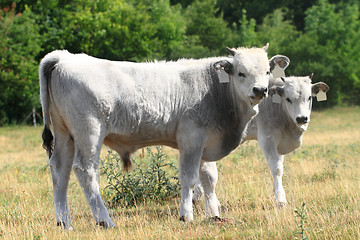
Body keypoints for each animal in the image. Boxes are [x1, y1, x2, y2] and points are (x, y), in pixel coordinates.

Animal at [39, 45, 288, 229]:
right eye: (241, 73)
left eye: (267, 72)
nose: (260, 90)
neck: (216, 89)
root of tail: (64, 57)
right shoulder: (191, 138)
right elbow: (189, 178)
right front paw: (186, 215)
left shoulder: (206, 141)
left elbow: (208, 178)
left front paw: (214, 214)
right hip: (89, 132)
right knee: (85, 170)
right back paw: (105, 220)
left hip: (65, 135)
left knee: (60, 171)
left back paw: (64, 223)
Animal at [194, 74, 330, 209]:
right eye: (288, 99)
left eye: (309, 98)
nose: (301, 118)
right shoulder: (267, 139)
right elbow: (277, 169)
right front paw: (280, 200)